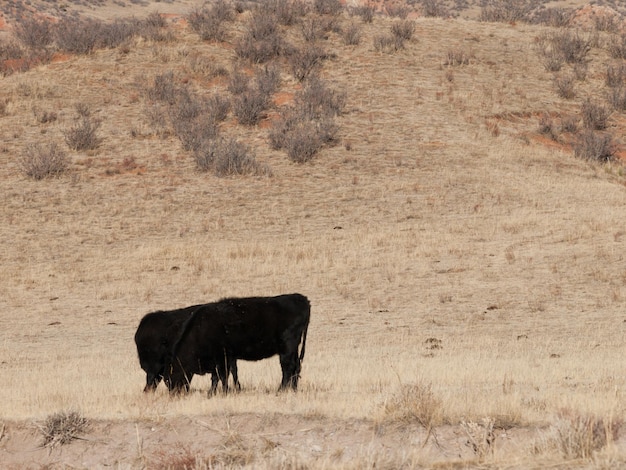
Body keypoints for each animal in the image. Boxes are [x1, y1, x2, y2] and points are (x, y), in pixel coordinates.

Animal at [165, 294, 310, 392]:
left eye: (170, 379)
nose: (174, 394)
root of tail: (302, 299)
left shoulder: (222, 357)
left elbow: (221, 376)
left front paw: (220, 392)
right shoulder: (226, 358)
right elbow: (222, 375)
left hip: (287, 347)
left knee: (288, 367)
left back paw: (281, 390)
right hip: (293, 349)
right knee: (296, 366)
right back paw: (293, 389)